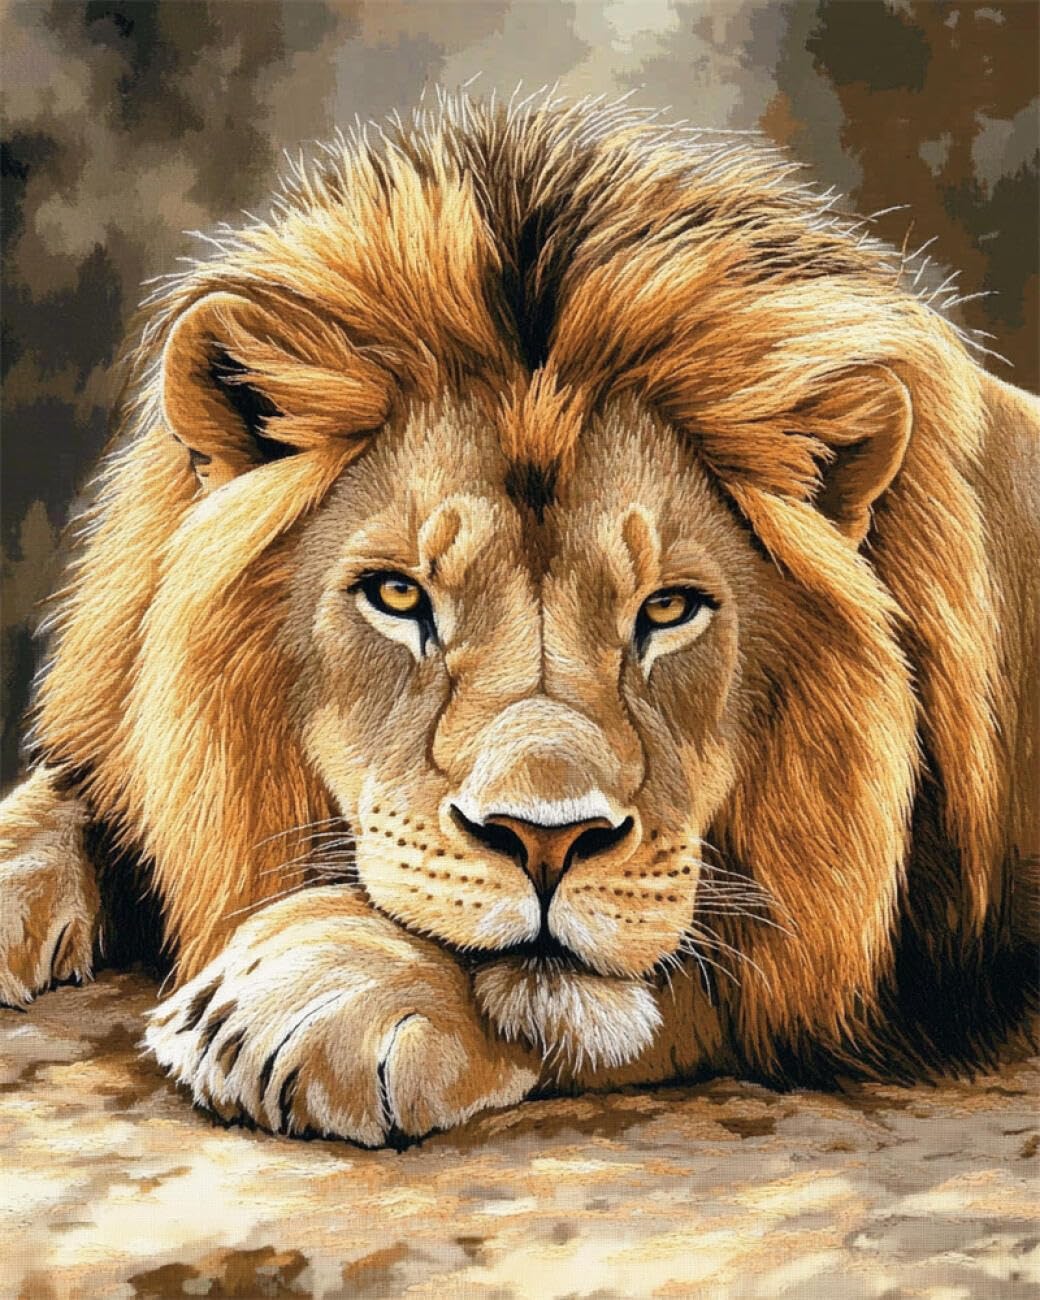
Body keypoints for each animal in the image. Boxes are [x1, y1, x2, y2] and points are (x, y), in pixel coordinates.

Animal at [1, 97, 1036, 1146]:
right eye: (399, 597)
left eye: (668, 609)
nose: (545, 844)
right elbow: (54, 811)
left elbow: (614, 984)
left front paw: (317, 990)